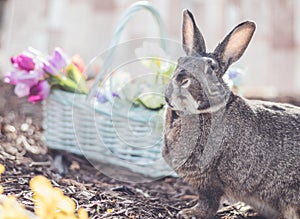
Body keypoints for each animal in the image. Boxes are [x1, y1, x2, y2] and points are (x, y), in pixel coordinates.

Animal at [163, 9, 298, 218]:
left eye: (210, 69)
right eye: (180, 62)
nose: (181, 79)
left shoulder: (210, 180)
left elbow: (208, 201)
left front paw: (190, 213)